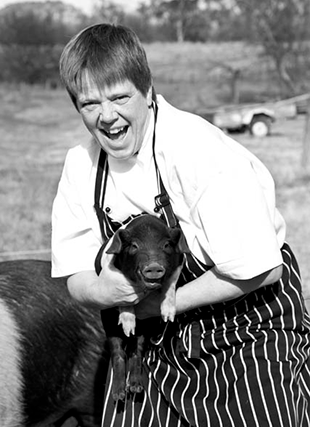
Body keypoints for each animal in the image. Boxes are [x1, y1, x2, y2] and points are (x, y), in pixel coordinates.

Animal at [100, 216, 190, 402]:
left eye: (166, 245)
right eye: (134, 245)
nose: (154, 266)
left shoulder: (179, 264)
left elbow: (170, 284)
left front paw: (168, 317)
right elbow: (121, 295)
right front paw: (128, 326)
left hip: (144, 330)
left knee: (137, 351)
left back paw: (135, 389)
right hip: (108, 323)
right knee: (118, 352)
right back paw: (119, 396)